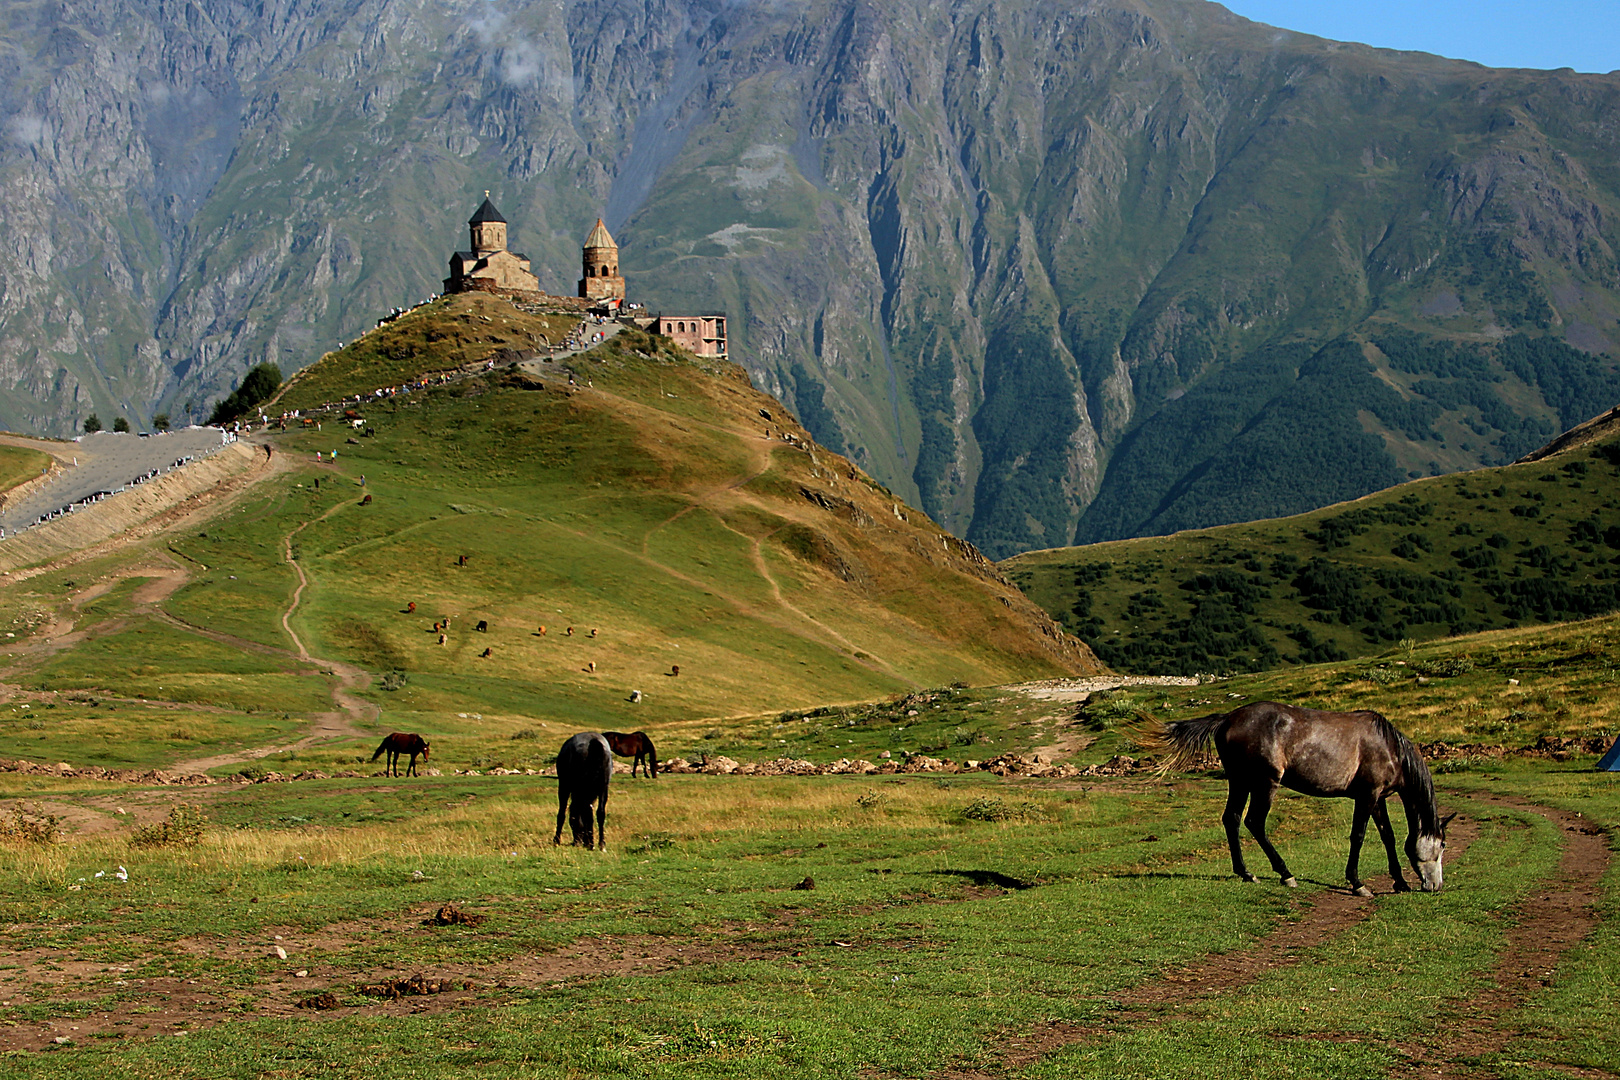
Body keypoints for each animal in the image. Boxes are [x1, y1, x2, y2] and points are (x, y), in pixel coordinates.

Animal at [1140, 702, 1458, 893]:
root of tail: (1228, 718)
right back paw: (1285, 873)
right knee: (1255, 822)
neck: (1389, 746)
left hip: (1240, 782)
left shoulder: (1378, 798)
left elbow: (1388, 837)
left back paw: (1246, 873)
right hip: (1265, 783)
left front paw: (1400, 881)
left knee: (1232, 819)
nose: (1435, 886)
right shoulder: (1367, 796)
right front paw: (1357, 883)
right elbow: (1358, 836)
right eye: (1442, 844)